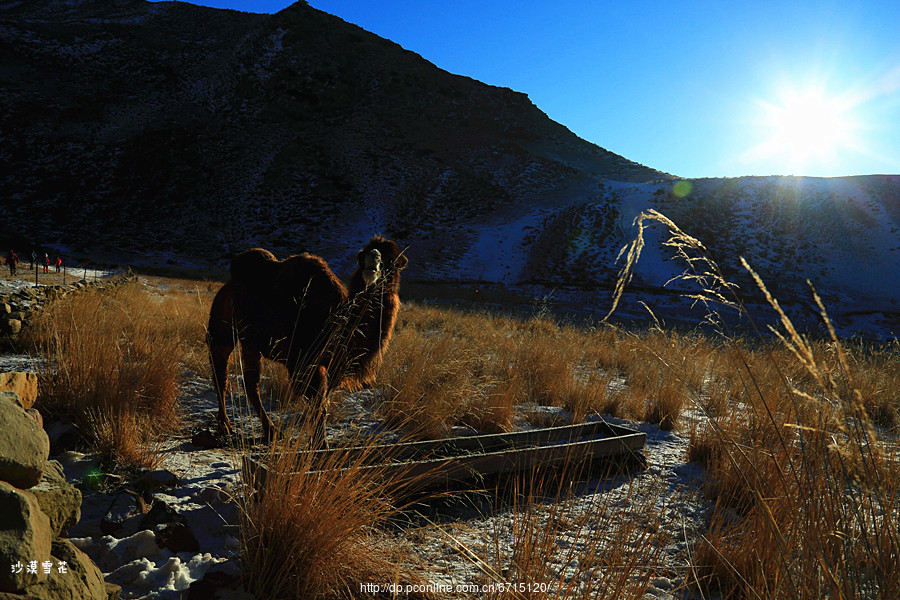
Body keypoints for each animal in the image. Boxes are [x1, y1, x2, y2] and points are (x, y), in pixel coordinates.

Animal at [206, 237, 406, 442]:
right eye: (362, 255)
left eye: (394, 260)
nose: (373, 256)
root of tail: (228, 283)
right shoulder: (304, 363)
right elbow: (318, 408)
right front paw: (321, 445)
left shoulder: (330, 367)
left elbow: (321, 404)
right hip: (224, 328)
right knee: (222, 373)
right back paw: (228, 426)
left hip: (250, 340)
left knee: (248, 382)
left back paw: (269, 431)